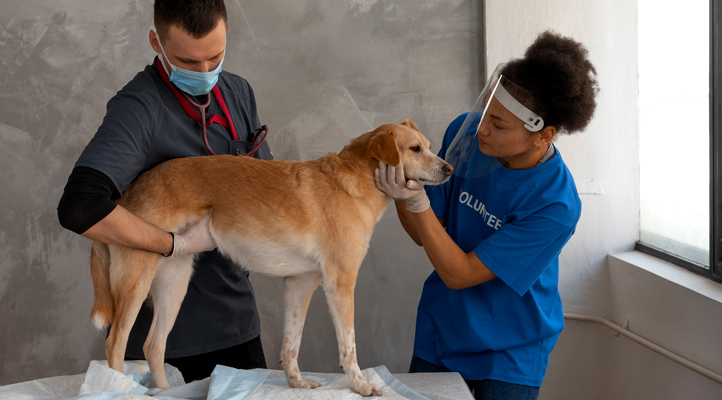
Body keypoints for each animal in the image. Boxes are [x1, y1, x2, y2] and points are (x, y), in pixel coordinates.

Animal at [88, 119, 450, 394]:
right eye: (414, 149)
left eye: (428, 145)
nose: (449, 168)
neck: (354, 180)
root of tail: (125, 195)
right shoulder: (340, 283)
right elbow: (349, 347)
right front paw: (360, 386)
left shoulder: (300, 284)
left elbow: (291, 344)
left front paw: (296, 383)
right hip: (136, 281)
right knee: (116, 345)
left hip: (173, 284)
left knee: (153, 346)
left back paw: (166, 392)